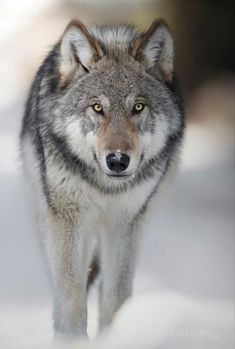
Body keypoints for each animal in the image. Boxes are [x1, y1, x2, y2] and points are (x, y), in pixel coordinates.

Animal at [20, 18, 185, 338]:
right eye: (98, 107)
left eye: (138, 107)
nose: (118, 160)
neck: (106, 189)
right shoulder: (69, 220)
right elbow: (71, 299)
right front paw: (71, 339)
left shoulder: (126, 222)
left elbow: (116, 298)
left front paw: (115, 336)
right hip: (51, 224)